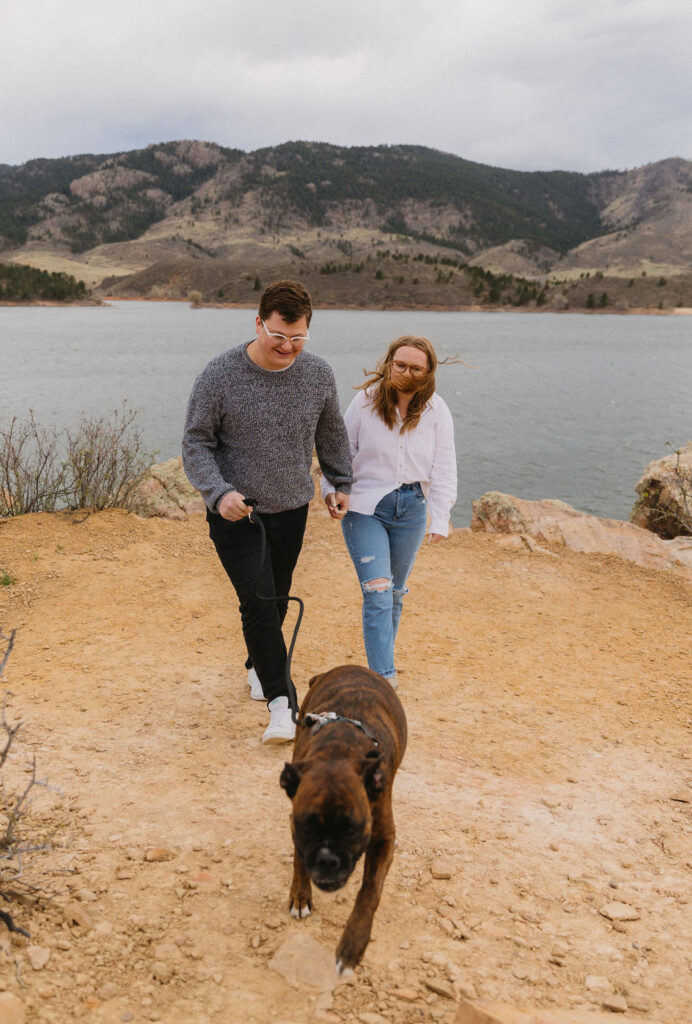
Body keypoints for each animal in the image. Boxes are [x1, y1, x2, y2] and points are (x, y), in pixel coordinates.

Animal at [278, 663, 405, 974]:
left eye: (352, 830)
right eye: (306, 828)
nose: (327, 859)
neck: (338, 754)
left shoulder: (383, 839)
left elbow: (370, 891)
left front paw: (353, 944)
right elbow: (298, 859)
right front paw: (300, 894)